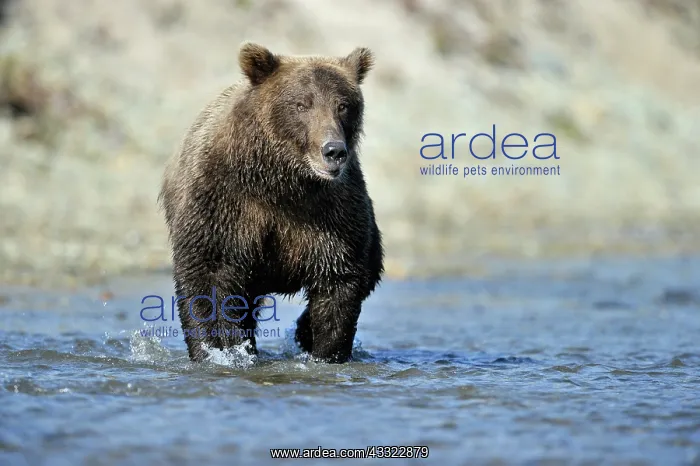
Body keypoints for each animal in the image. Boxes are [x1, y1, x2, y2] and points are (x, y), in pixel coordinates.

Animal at [158, 42, 384, 364]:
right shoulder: (222, 204)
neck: (280, 183)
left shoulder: (333, 213)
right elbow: (208, 276)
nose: (333, 151)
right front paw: (219, 350)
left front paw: (325, 351)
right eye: (301, 104)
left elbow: (340, 280)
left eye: (342, 105)